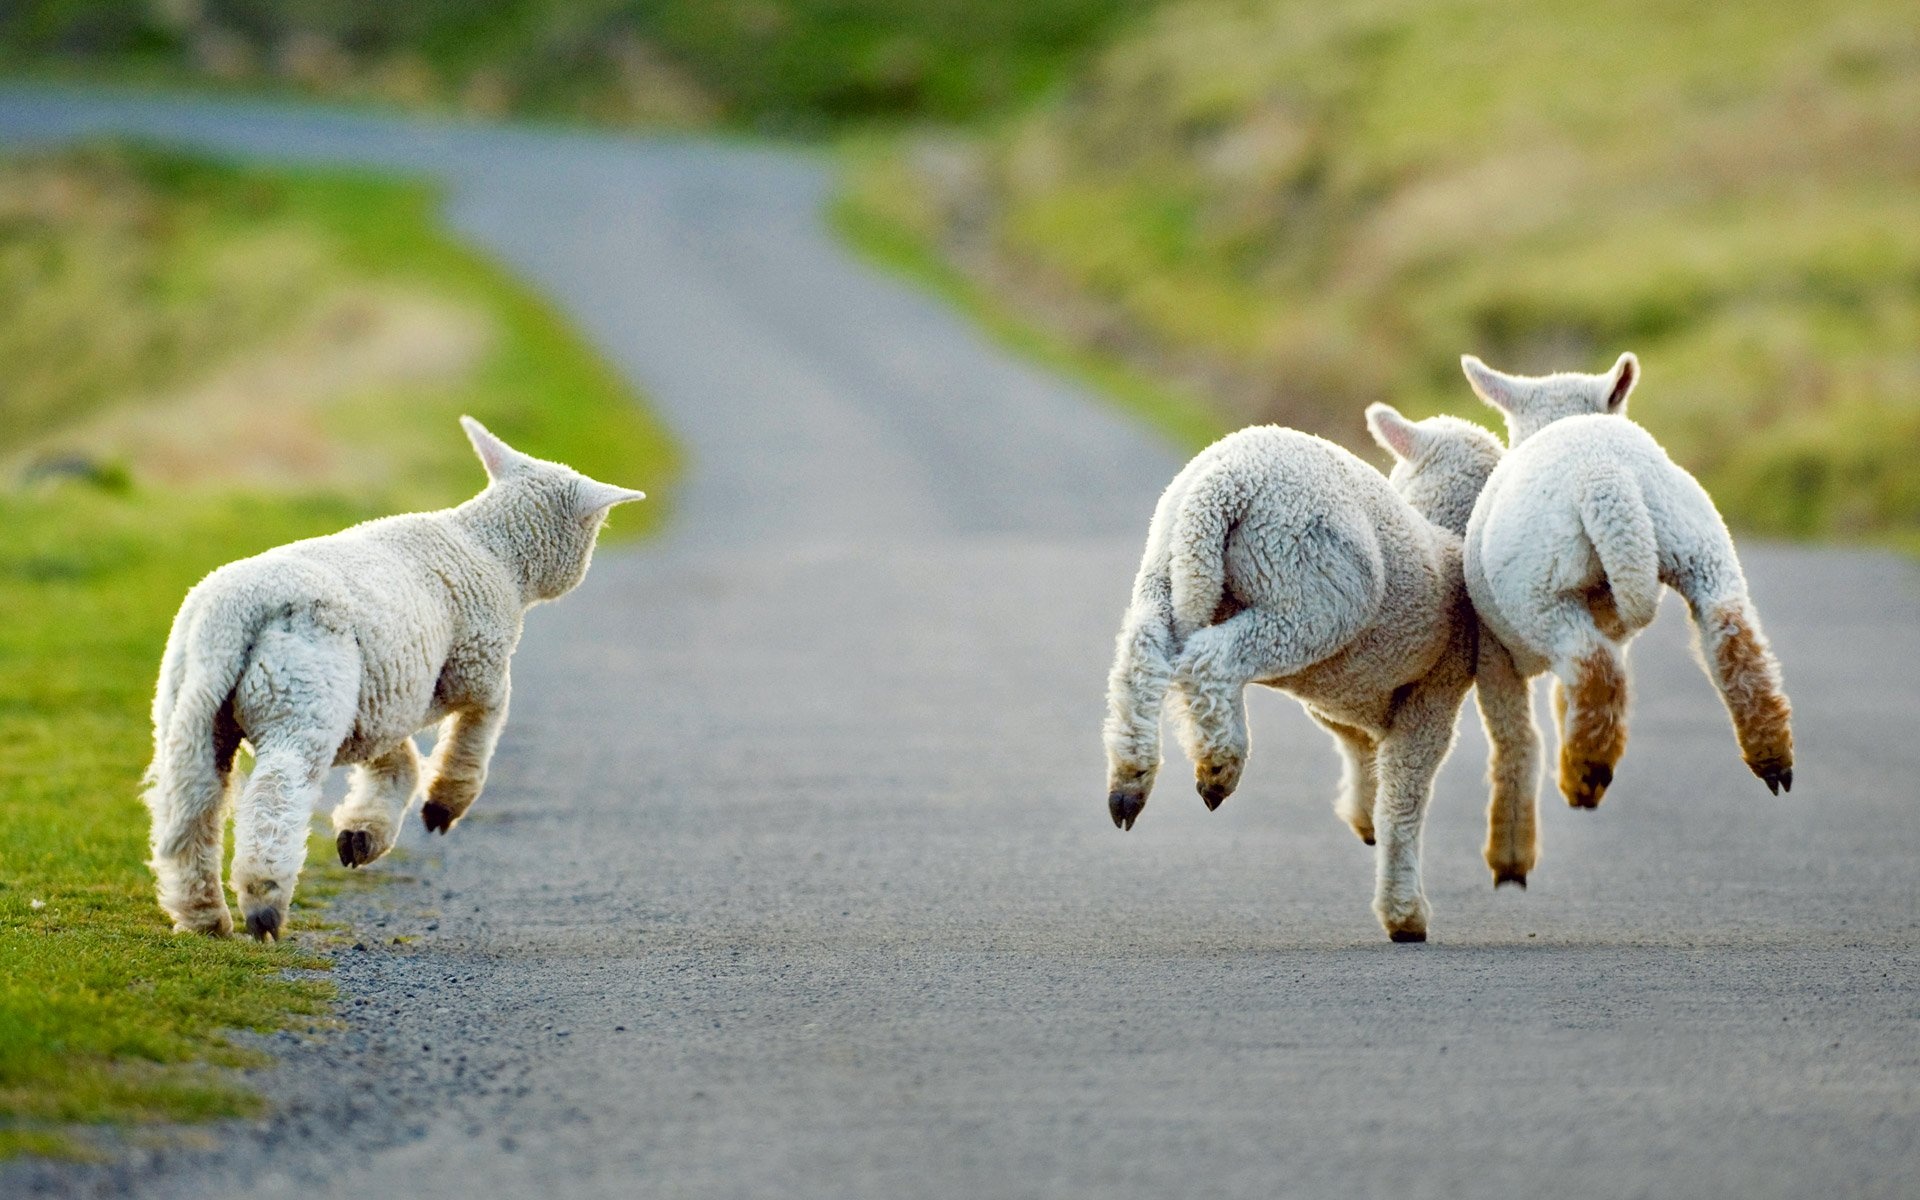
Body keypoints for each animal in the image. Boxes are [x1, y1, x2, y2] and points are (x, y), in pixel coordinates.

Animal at [142, 416, 648, 940]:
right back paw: (264, 904)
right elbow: (482, 722)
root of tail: (233, 613)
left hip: (192, 708)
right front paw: (445, 803)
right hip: (303, 697)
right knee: (276, 793)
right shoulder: (474, 665)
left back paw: (202, 916)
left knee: (192, 804)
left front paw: (363, 834)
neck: (494, 552)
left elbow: (397, 762)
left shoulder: (384, 697)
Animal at [1098, 407, 1528, 940]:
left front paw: (1364, 816)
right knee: (1212, 658)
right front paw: (1404, 913)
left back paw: (1129, 781)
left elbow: (1361, 750)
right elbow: (1404, 796)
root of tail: (1223, 483)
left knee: (1144, 653)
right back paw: (1219, 766)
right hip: (1305, 590)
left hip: (1165, 566)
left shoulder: (1343, 698)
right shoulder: (1434, 690)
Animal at [1451, 351, 1797, 810]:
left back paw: (1585, 772)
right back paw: (1771, 755)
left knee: (1592, 664)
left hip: (1540, 589)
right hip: (1697, 542)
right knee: (1731, 633)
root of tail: (1603, 474)